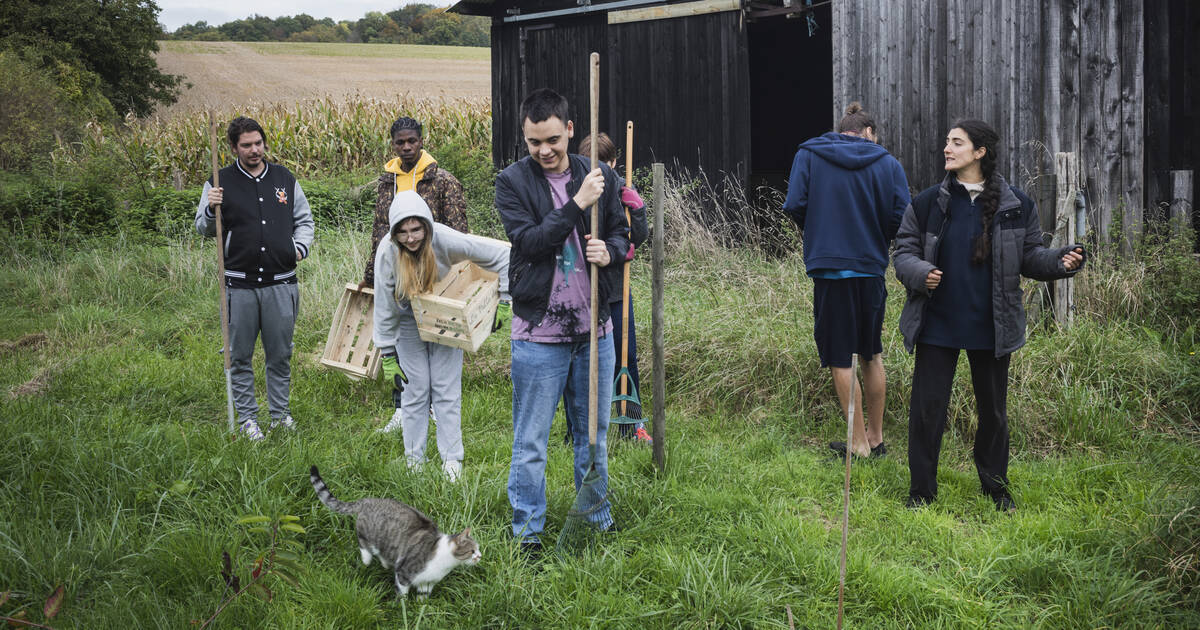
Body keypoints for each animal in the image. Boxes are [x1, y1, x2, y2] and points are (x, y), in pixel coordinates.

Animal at [312, 463, 480, 597]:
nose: (480, 556)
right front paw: (403, 609)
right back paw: (367, 559)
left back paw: (385, 563)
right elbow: (402, 595)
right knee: (363, 544)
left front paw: (421, 611)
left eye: (478, 549)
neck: (445, 563)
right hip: (367, 533)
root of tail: (367, 500)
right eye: (472, 551)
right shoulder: (403, 574)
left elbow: (422, 600)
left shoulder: (427, 584)